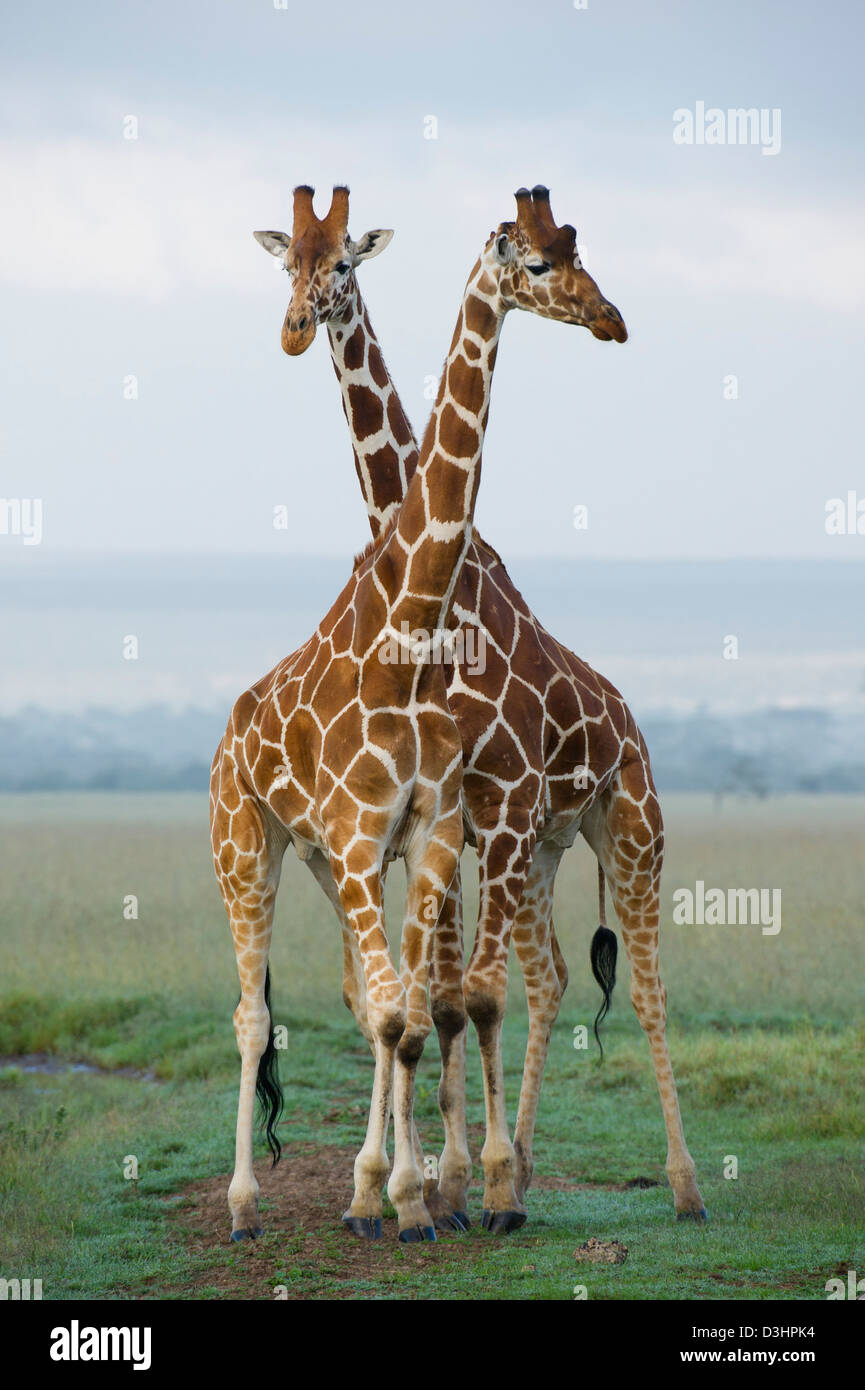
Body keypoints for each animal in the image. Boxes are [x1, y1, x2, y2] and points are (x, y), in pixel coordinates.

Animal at [253, 182, 712, 1228]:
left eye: (343, 264)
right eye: (289, 262)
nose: (610, 317)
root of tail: (631, 726)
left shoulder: (482, 808)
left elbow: (464, 997)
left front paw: (461, 1185)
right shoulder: (460, 819)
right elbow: (435, 995)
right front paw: (441, 1183)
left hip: (628, 828)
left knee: (646, 989)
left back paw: (680, 1186)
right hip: (544, 843)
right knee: (549, 980)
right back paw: (523, 1166)